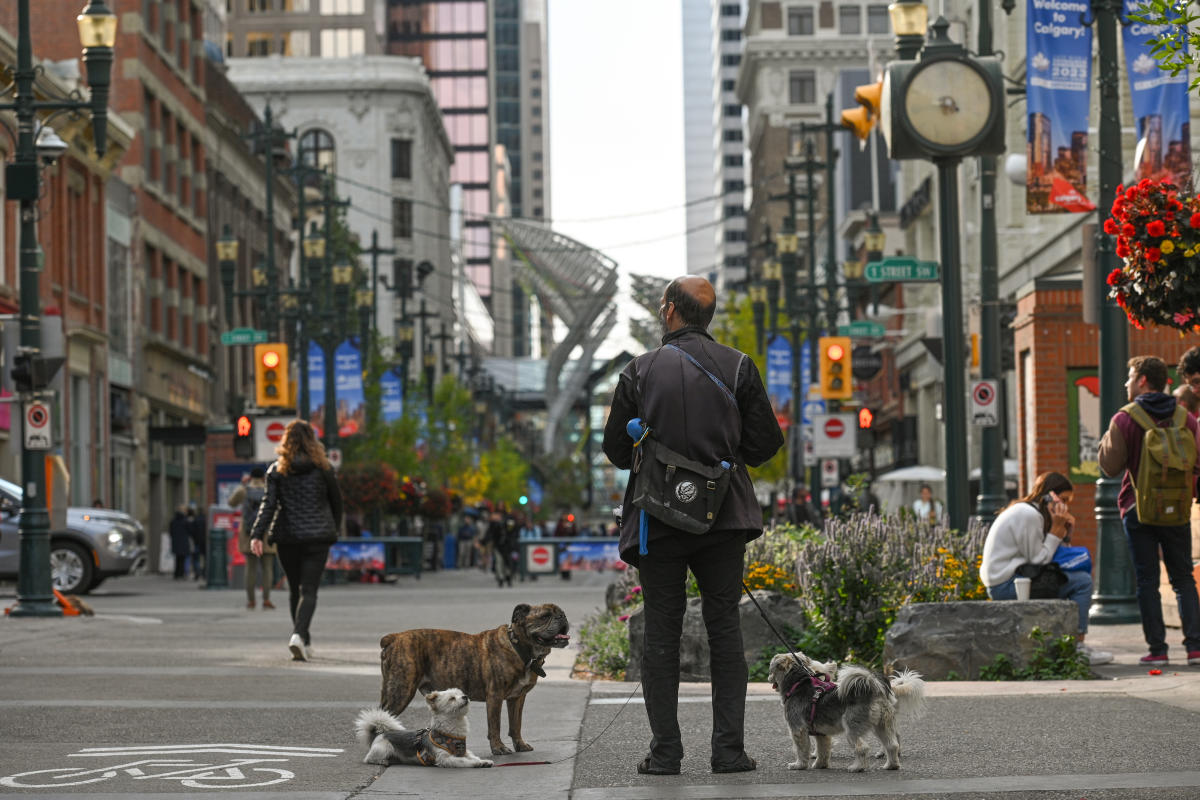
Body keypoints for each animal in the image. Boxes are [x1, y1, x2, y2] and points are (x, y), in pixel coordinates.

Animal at [352, 690, 494, 767]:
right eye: (452, 698)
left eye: (461, 694)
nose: (465, 696)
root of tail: (381, 733)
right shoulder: (445, 759)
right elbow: (464, 761)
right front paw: (476, 764)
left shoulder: (464, 751)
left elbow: (473, 757)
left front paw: (483, 761)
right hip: (384, 748)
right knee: (368, 759)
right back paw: (382, 761)